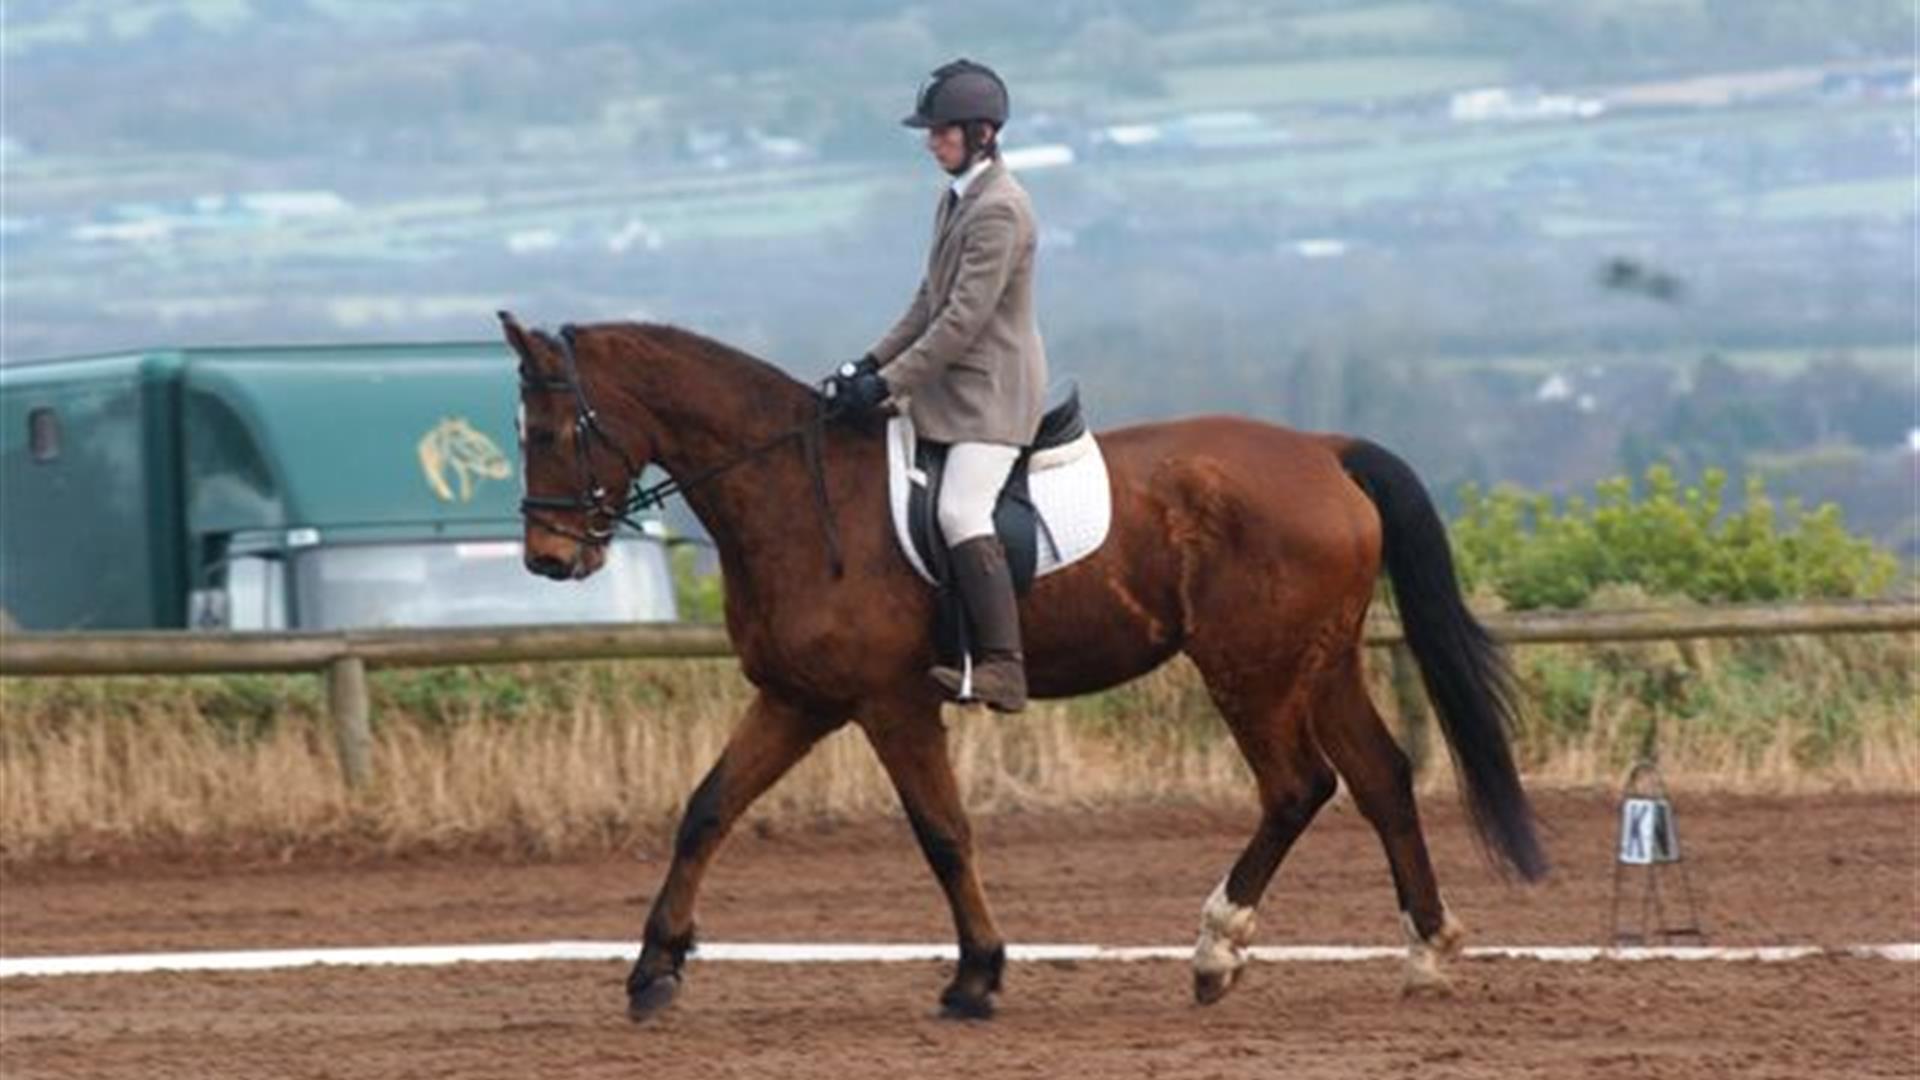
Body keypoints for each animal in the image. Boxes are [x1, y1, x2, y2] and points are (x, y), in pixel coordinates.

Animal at [499, 309, 1543, 1014]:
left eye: (548, 432)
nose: (548, 560)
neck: (794, 492)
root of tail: (1323, 451)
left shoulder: (888, 702)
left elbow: (943, 832)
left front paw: (976, 976)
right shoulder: (799, 698)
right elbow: (707, 810)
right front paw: (653, 970)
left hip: (1250, 668)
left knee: (1298, 786)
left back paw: (1216, 953)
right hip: (1316, 662)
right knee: (1382, 778)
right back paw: (1426, 951)